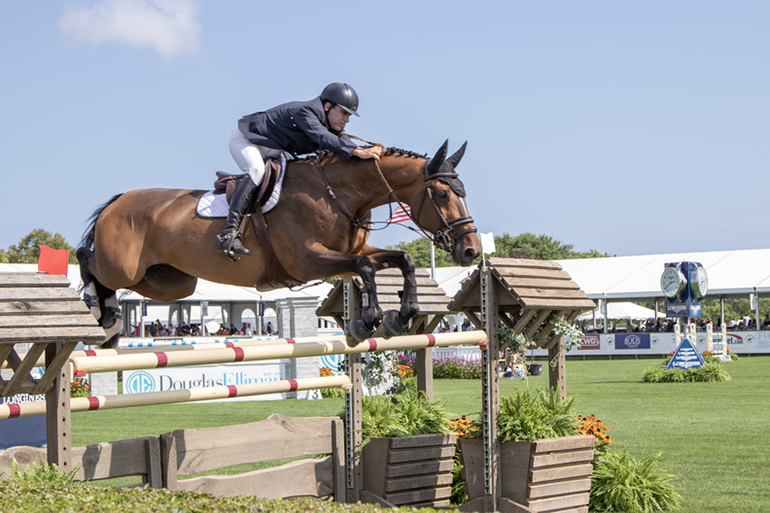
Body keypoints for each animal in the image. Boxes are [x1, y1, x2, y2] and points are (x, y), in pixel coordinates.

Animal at [77, 140, 481, 347]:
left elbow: (401, 260)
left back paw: (110, 323)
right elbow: (365, 268)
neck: (339, 193)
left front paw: (403, 314)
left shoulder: (350, 251)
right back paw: (100, 311)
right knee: (87, 259)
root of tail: (117, 202)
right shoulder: (307, 260)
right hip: (123, 266)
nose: (471, 251)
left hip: (170, 282)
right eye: (443, 194)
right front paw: (368, 320)